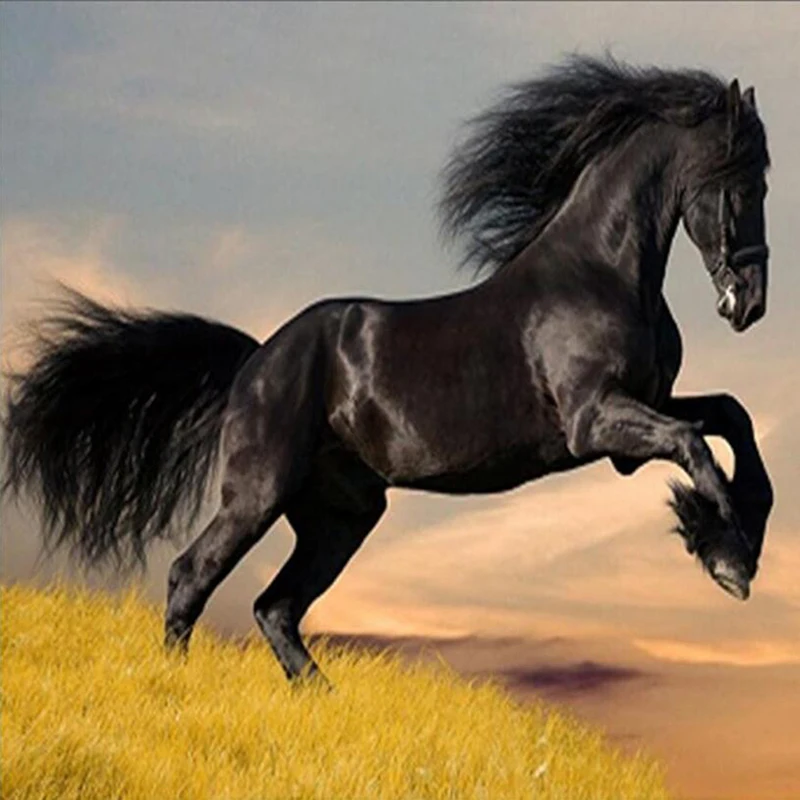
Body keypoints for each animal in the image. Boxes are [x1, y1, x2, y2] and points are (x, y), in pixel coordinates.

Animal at [3, 57, 773, 684]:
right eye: (740, 182)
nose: (751, 303)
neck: (599, 273)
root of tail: (255, 359)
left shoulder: (644, 410)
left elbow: (731, 418)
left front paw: (735, 539)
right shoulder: (595, 423)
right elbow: (696, 444)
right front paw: (728, 557)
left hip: (342, 514)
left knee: (275, 606)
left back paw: (322, 702)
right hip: (258, 492)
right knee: (193, 576)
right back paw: (178, 687)